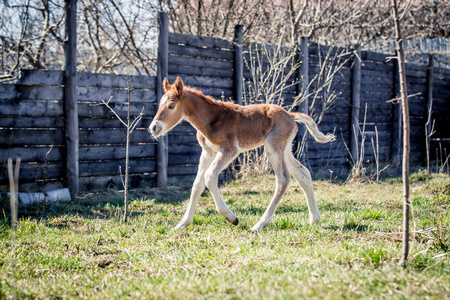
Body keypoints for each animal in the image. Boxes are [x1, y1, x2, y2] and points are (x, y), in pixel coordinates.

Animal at [149, 77, 336, 232]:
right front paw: (182, 224)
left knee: (283, 179)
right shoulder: (208, 152)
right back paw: (314, 219)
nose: (154, 127)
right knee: (304, 175)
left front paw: (232, 218)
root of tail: (291, 114)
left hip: (273, 147)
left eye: (171, 106)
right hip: (285, 150)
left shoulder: (230, 150)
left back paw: (259, 225)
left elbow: (209, 177)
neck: (211, 119)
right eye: (160, 104)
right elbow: (197, 185)